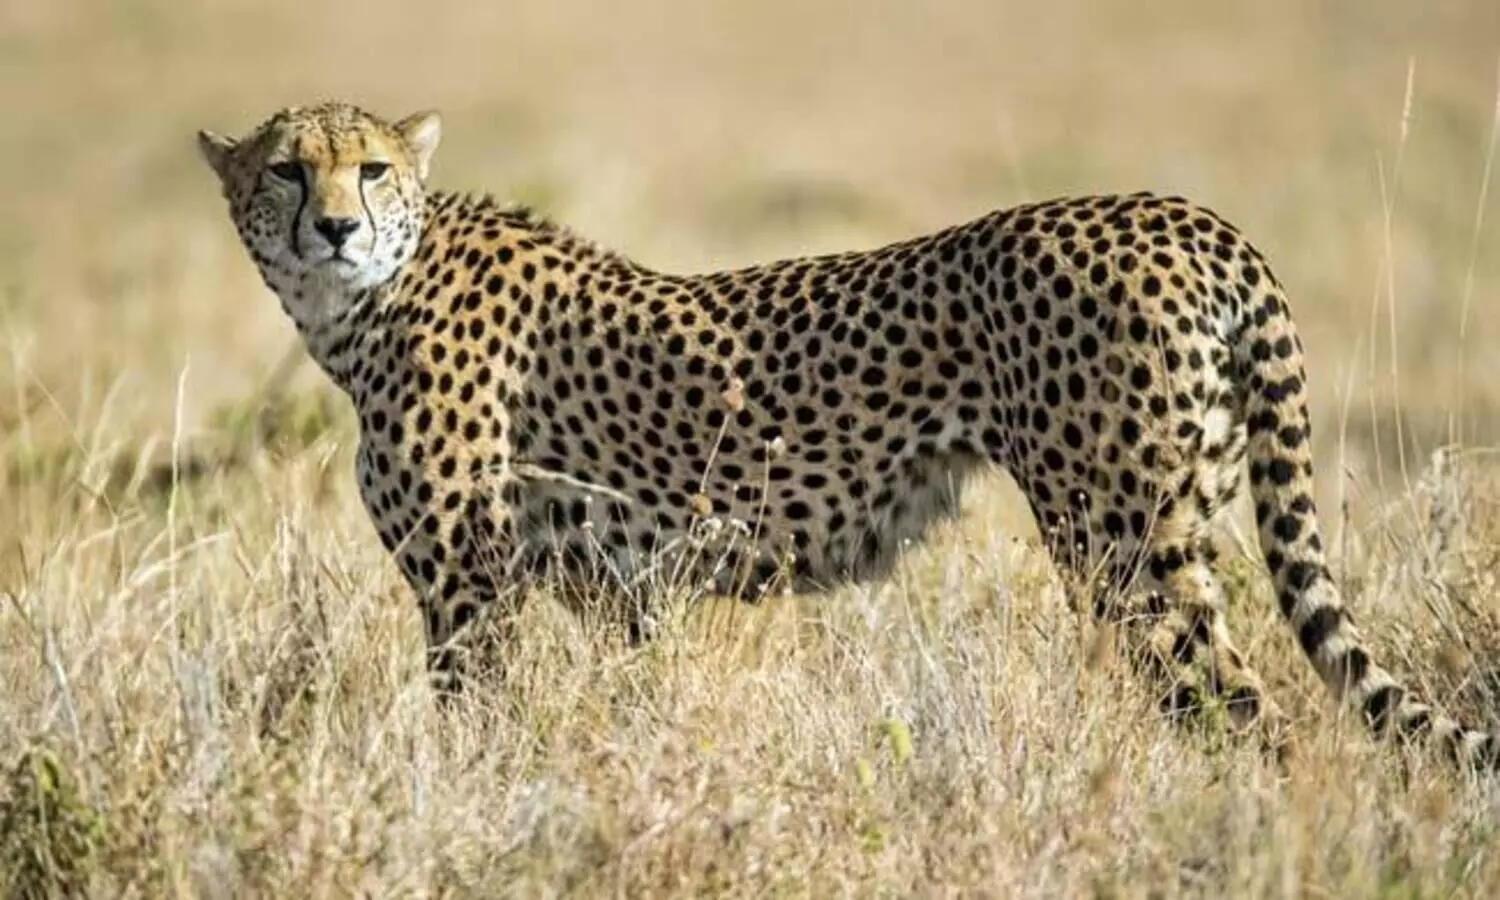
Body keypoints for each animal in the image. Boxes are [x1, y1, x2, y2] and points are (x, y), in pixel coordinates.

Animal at [197, 100, 1497, 770]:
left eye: (370, 168)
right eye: (286, 170)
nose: (334, 227)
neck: (366, 302)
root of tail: (1184, 212)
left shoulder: (468, 590)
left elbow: (472, 725)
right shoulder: (615, 593)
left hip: (1125, 544)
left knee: (1245, 711)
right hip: (1191, 504)